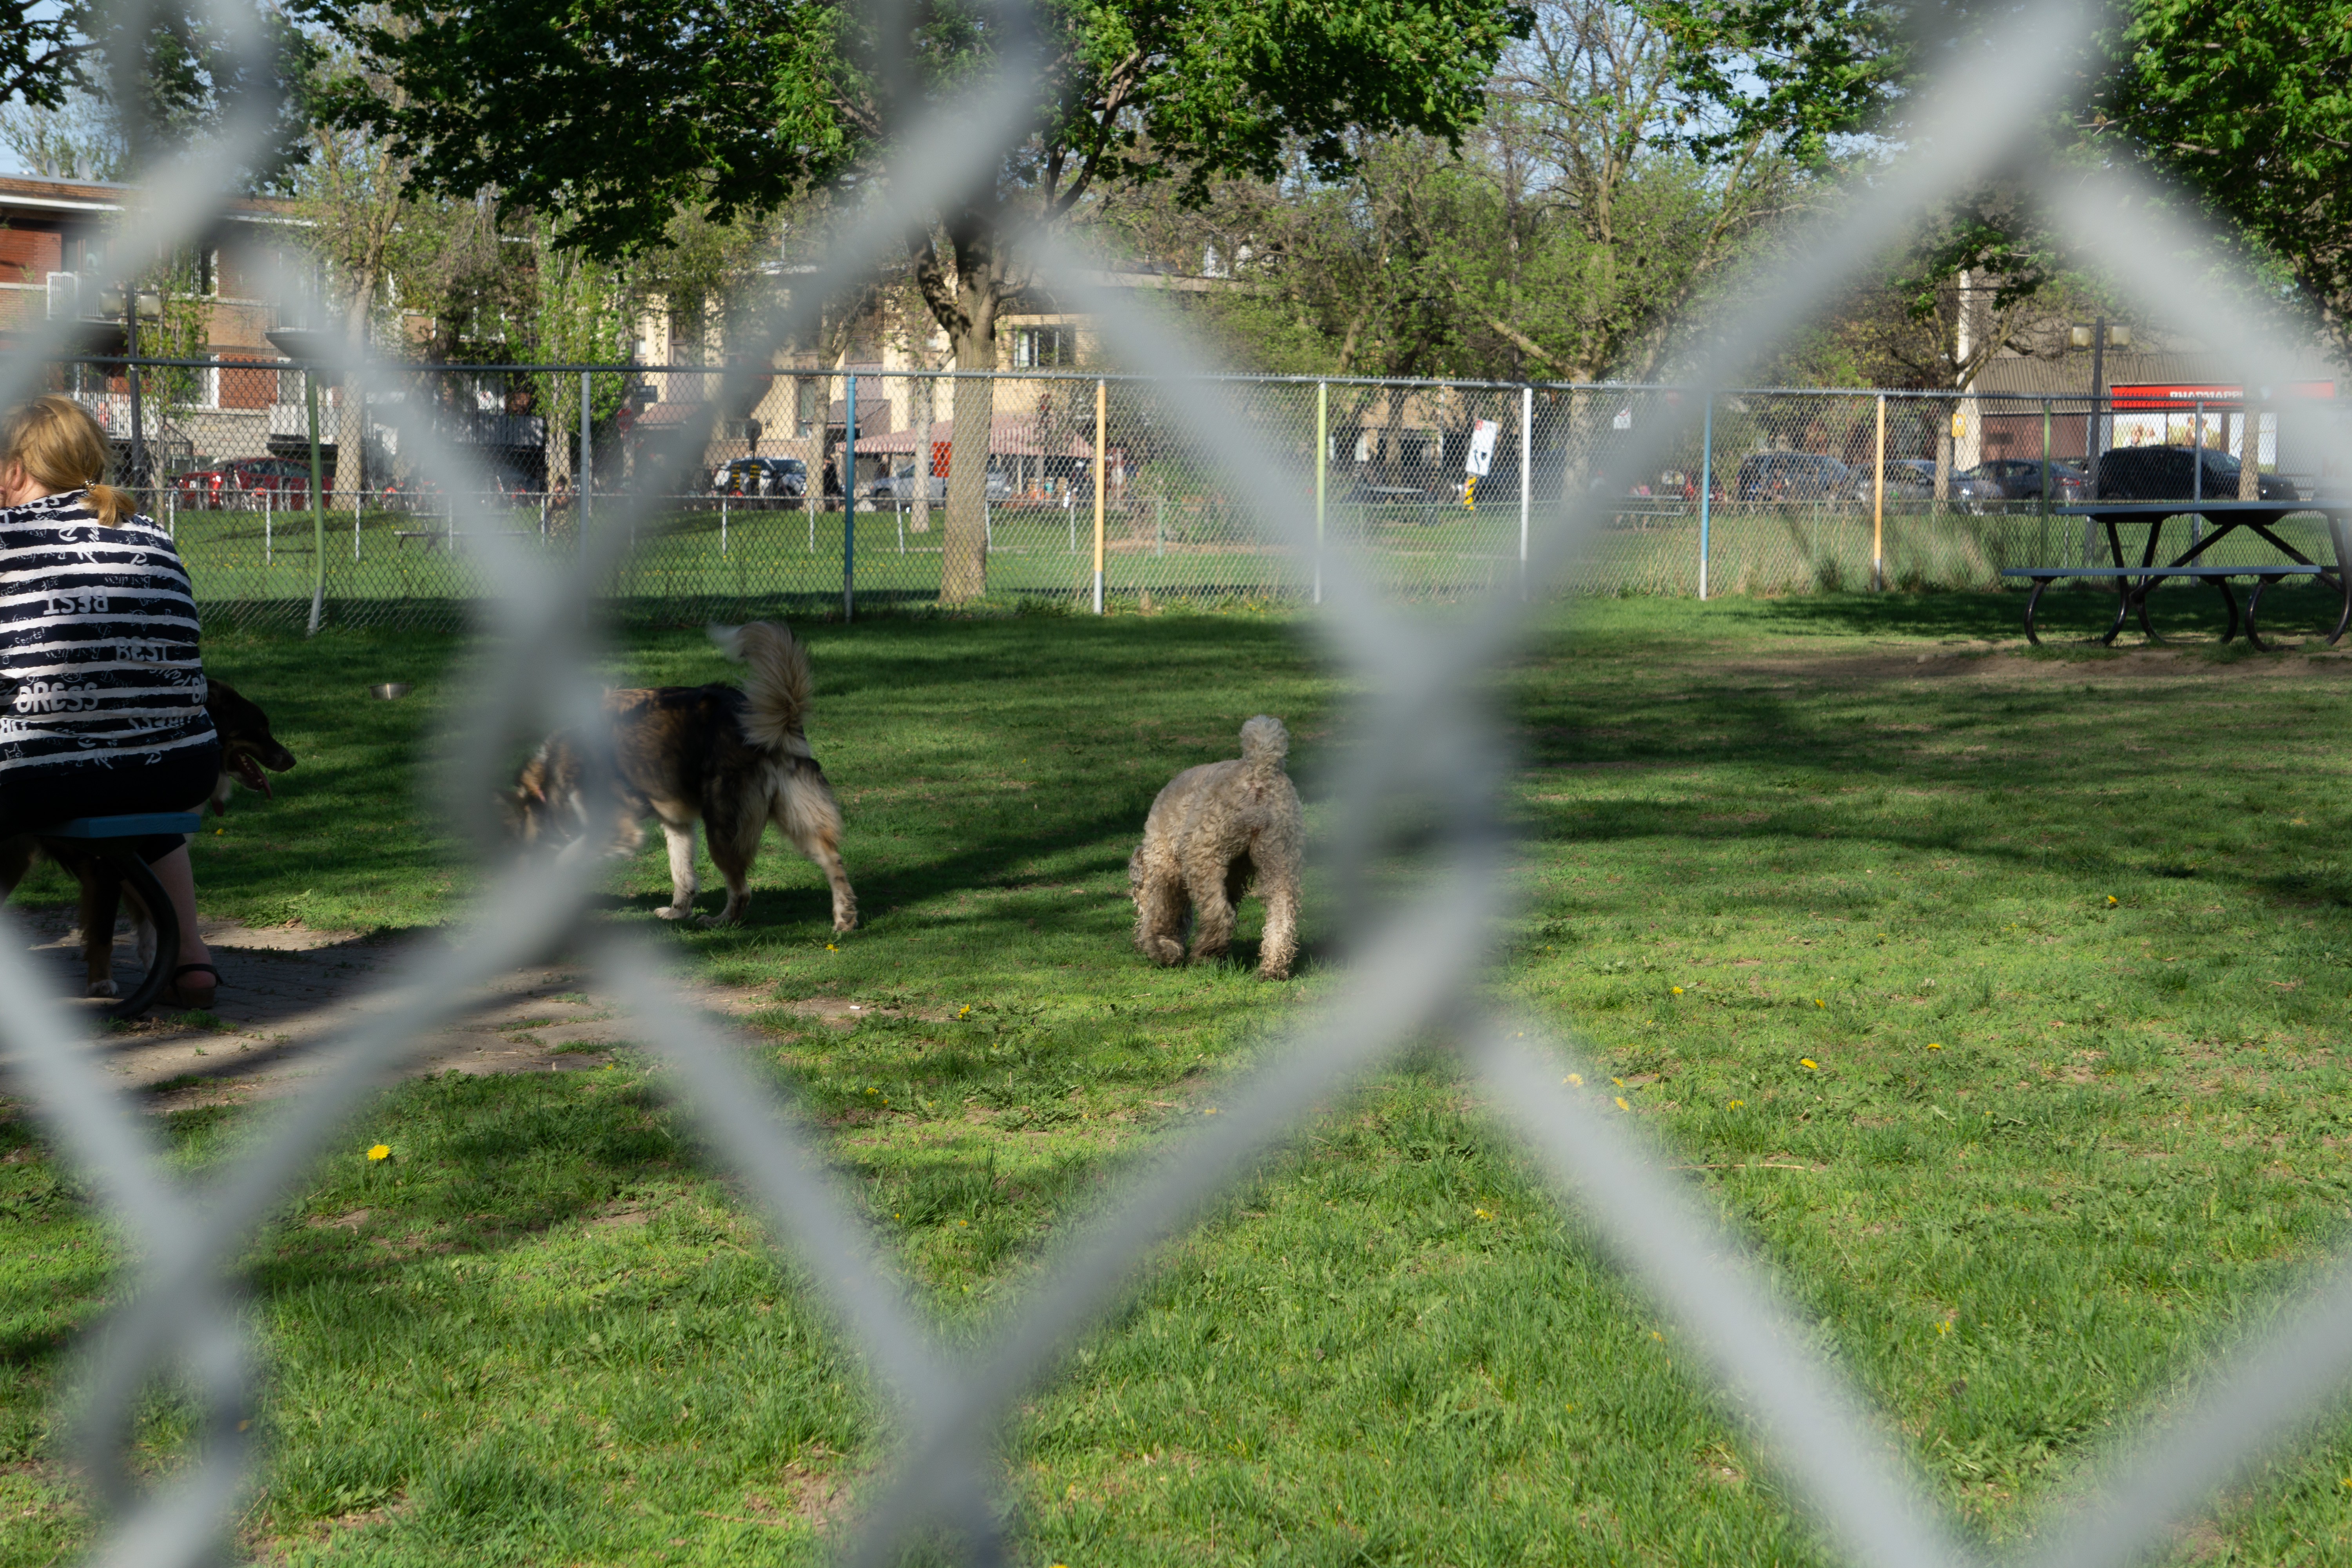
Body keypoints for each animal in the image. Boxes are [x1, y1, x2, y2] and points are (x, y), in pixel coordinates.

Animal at [0, 672, 303, 992]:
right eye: (261, 729)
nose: (292, 761)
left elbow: (154, 923)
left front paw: (158, 974)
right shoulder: (107, 864)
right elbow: (103, 933)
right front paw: (101, 982)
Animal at [501, 621, 861, 931]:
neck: (551, 778)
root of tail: (771, 725)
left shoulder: (615, 827)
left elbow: (565, 858)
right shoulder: (676, 821)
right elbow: (682, 872)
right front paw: (678, 912)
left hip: (723, 826)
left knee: (742, 890)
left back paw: (720, 922)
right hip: (796, 817)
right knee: (832, 858)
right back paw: (845, 918)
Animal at [1124, 715, 1298, 982]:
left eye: (1135, 897)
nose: (1135, 939)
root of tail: (1259, 771)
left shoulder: (1166, 864)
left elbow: (1163, 911)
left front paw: (1162, 949)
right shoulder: (1233, 876)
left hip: (1202, 857)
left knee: (1219, 915)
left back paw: (1205, 953)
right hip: (1278, 856)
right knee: (1281, 917)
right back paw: (1272, 969)